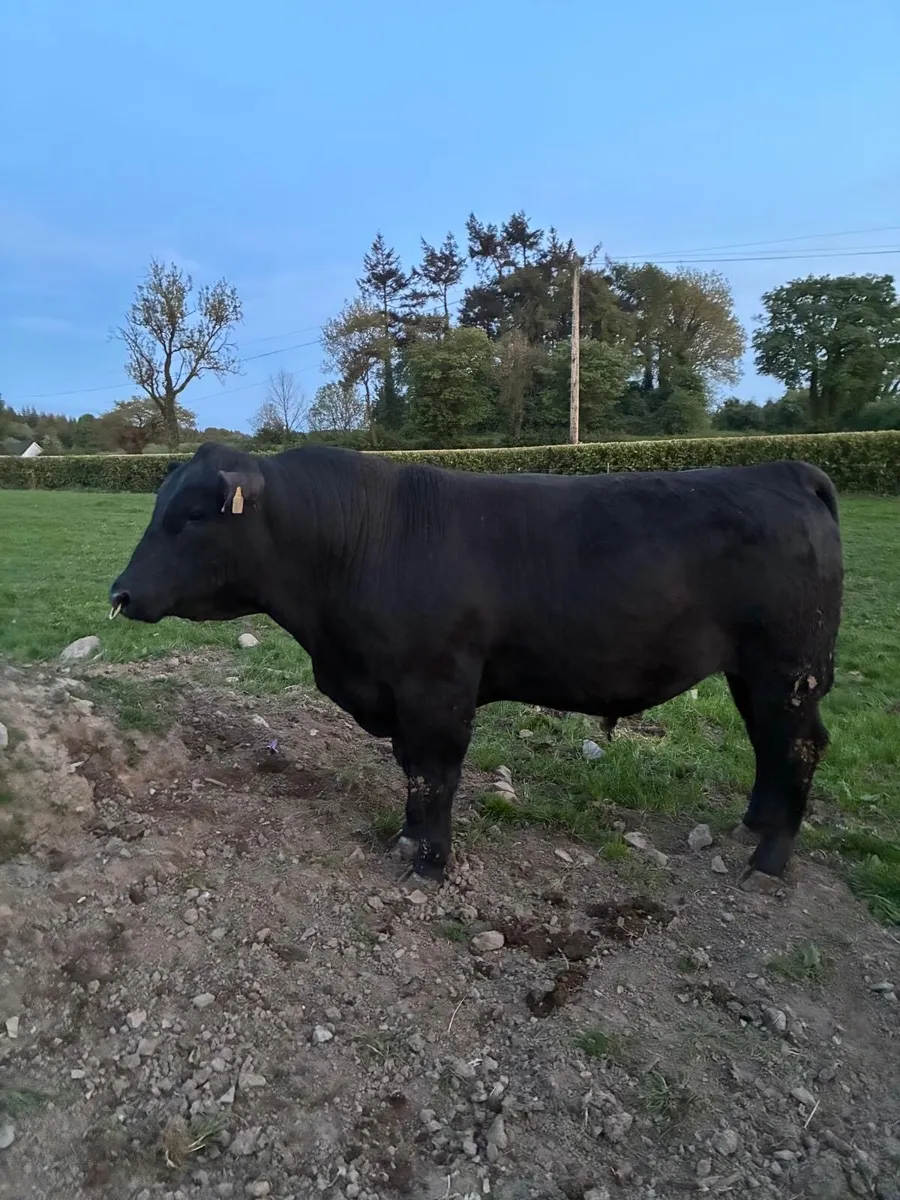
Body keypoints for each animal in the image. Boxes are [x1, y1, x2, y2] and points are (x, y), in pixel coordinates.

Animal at [109, 442, 843, 885]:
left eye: (194, 514)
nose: (120, 591)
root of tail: (784, 470)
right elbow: (413, 771)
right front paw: (410, 842)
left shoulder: (437, 687)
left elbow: (435, 773)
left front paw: (428, 862)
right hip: (753, 672)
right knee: (769, 745)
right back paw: (754, 823)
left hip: (789, 668)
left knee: (801, 745)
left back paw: (769, 860)